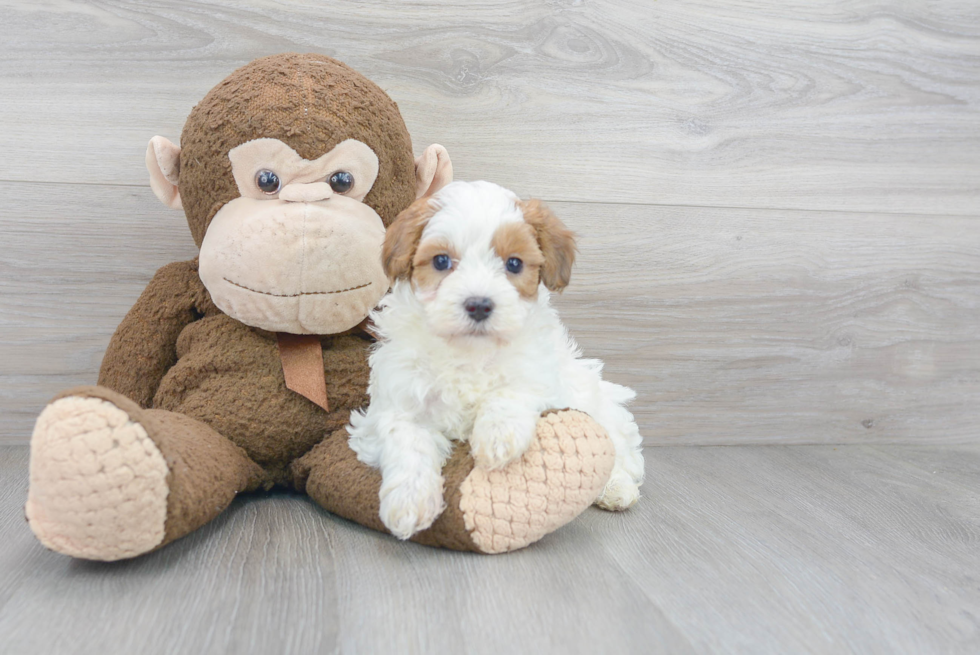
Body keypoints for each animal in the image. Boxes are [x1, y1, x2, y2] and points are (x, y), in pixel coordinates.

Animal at [348, 181, 648, 544]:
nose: (479, 305)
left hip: (599, 402)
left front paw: (497, 436)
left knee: (620, 451)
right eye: (441, 261)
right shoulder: (396, 400)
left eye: (514, 264)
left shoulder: (538, 370)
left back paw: (616, 489)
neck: (469, 352)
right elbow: (406, 439)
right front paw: (409, 501)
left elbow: (513, 389)